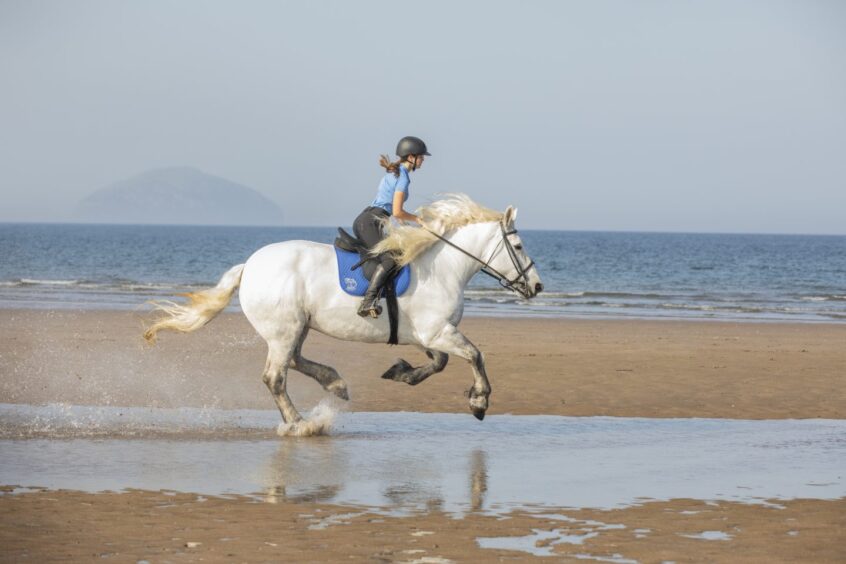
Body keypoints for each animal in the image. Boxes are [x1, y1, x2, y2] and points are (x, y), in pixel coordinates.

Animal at [144, 195, 544, 436]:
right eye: (518, 245)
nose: (537, 287)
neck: (445, 268)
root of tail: (250, 266)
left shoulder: (427, 336)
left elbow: (439, 363)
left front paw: (401, 372)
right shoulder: (437, 331)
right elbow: (475, 355)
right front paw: (479, 402)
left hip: (296, 327)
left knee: (294, 361)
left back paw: (334, 383)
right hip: (285, 329)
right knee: (275, 376)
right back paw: (300, 424)